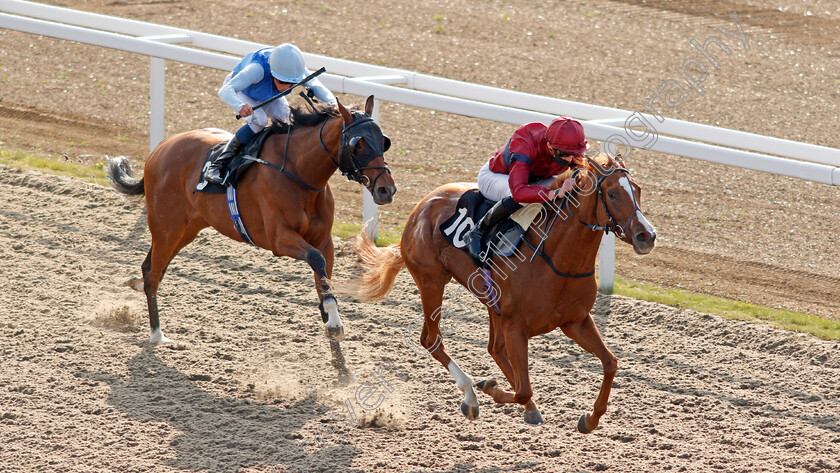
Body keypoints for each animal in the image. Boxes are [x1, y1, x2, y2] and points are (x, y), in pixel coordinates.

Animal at [106, 97, 396, 380]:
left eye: (383, 140)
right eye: (358, 144)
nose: (387, 190)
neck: (299, 172)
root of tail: (160, 148)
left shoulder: (325, 242)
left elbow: (324, 287)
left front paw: (342, 367)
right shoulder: (279, 239)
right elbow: (315, 261)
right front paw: (335, 326)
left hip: (188, 229)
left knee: (150, 267)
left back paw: (137, 285)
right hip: (167, 225)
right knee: (154, 275)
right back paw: (157, 334)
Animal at [342, 153, 656, 430]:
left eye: (638, 190)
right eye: (612, 194)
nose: (647, 235)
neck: (557, 258)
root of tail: (421, 205)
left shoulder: (575, 321)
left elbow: (610, 363)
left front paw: (590, 420)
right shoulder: (516, 325)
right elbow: (523, 389)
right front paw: (489, 387)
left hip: (491, 303)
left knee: (493, 348)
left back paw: (525, 408)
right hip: (431, 281)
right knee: (432, 340)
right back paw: (471, 395)